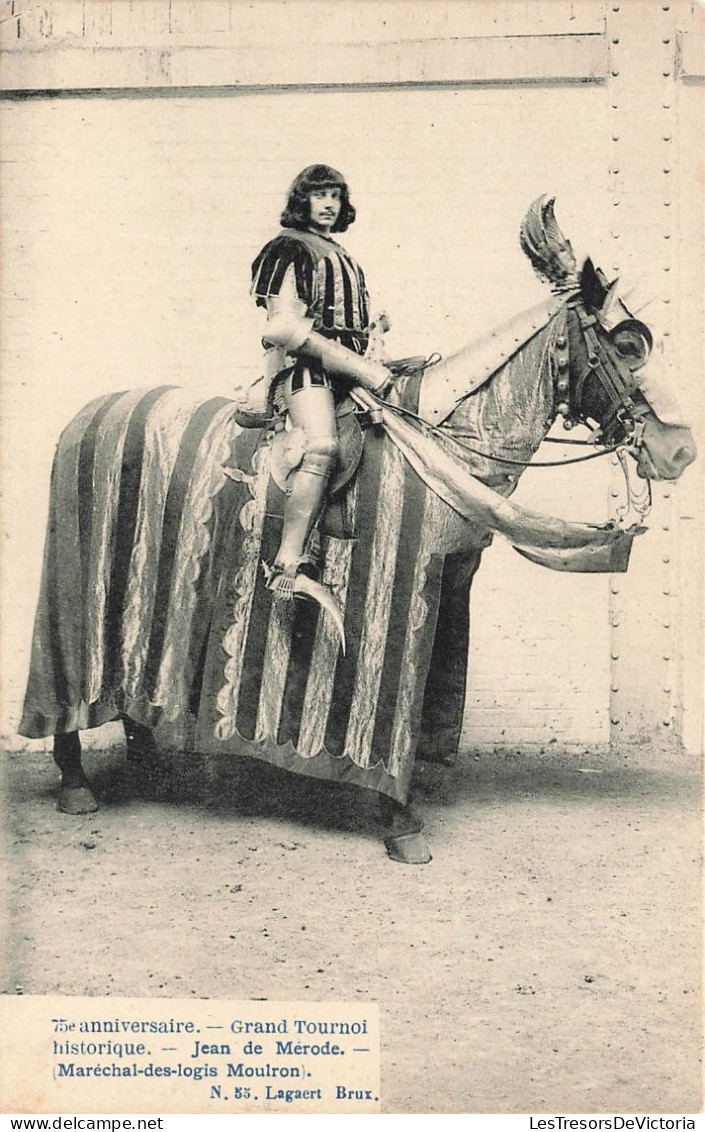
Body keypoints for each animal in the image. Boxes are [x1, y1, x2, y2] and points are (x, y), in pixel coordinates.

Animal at [19, 199, 697, 860]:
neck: (441, 436)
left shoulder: (450, 583)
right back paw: (76, 782)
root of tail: (83, 419)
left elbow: (433, 688)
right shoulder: (409, 582)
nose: (680, 451)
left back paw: (147, 759)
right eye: (628, 344)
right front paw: (400, 823)